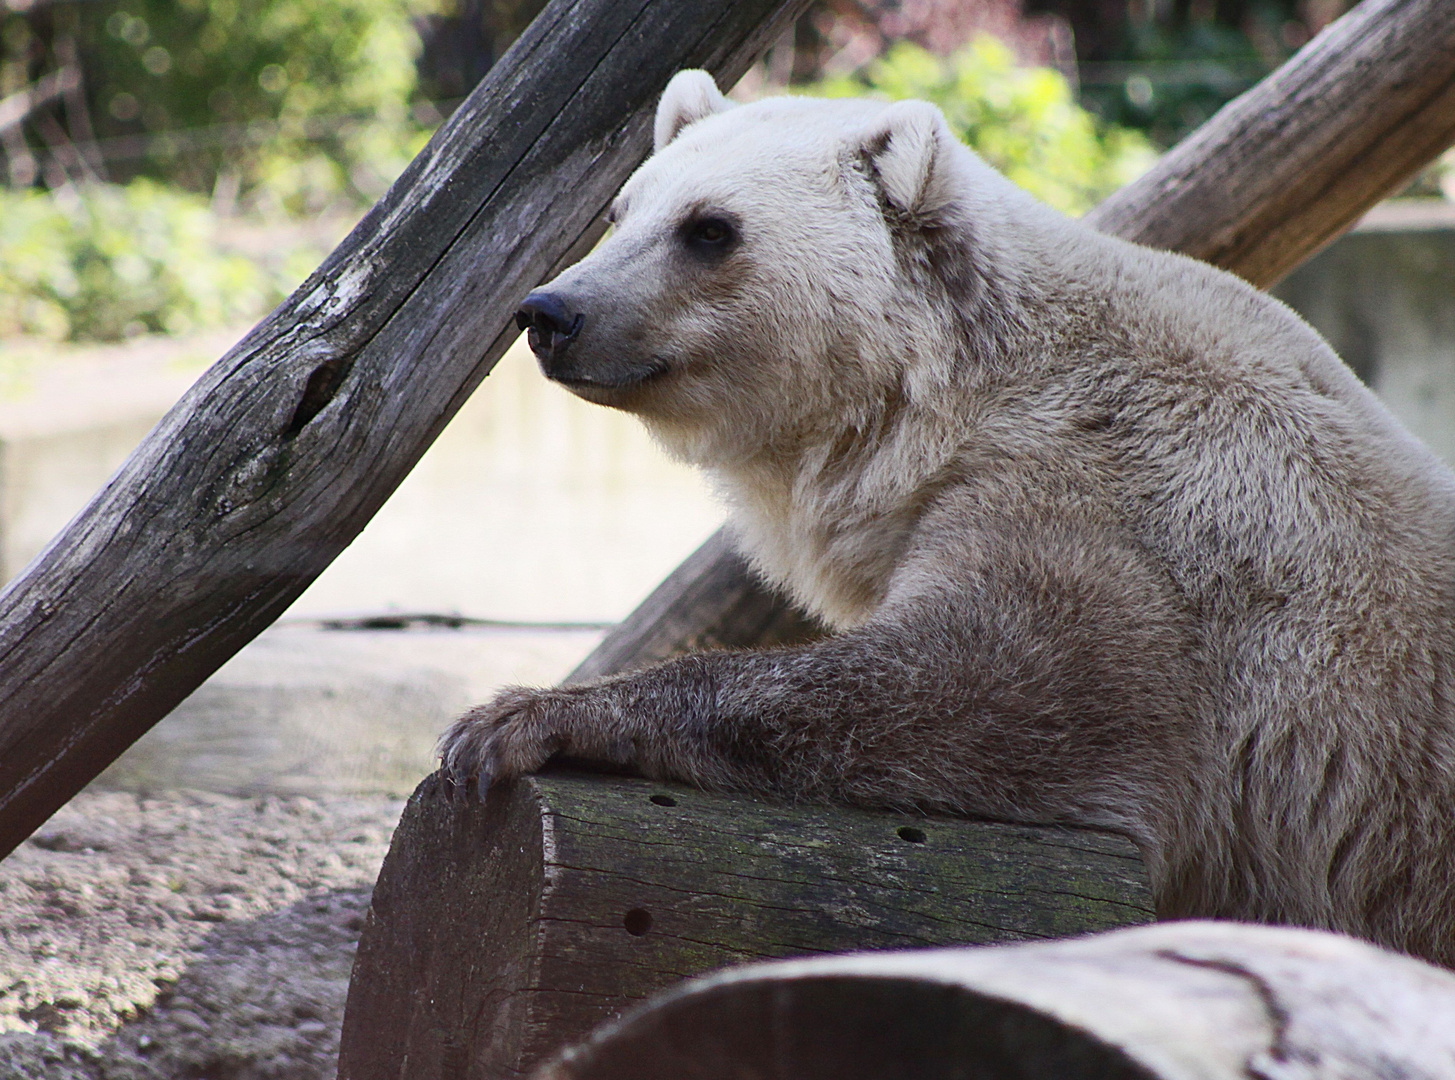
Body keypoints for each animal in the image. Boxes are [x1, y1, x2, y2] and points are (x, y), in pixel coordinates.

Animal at [436, 69, 1455, 966]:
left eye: (710, 228)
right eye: (621, 212)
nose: (551, 312)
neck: (944, 398)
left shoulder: (1121, 504)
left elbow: (993, 687)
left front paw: (516, 718)